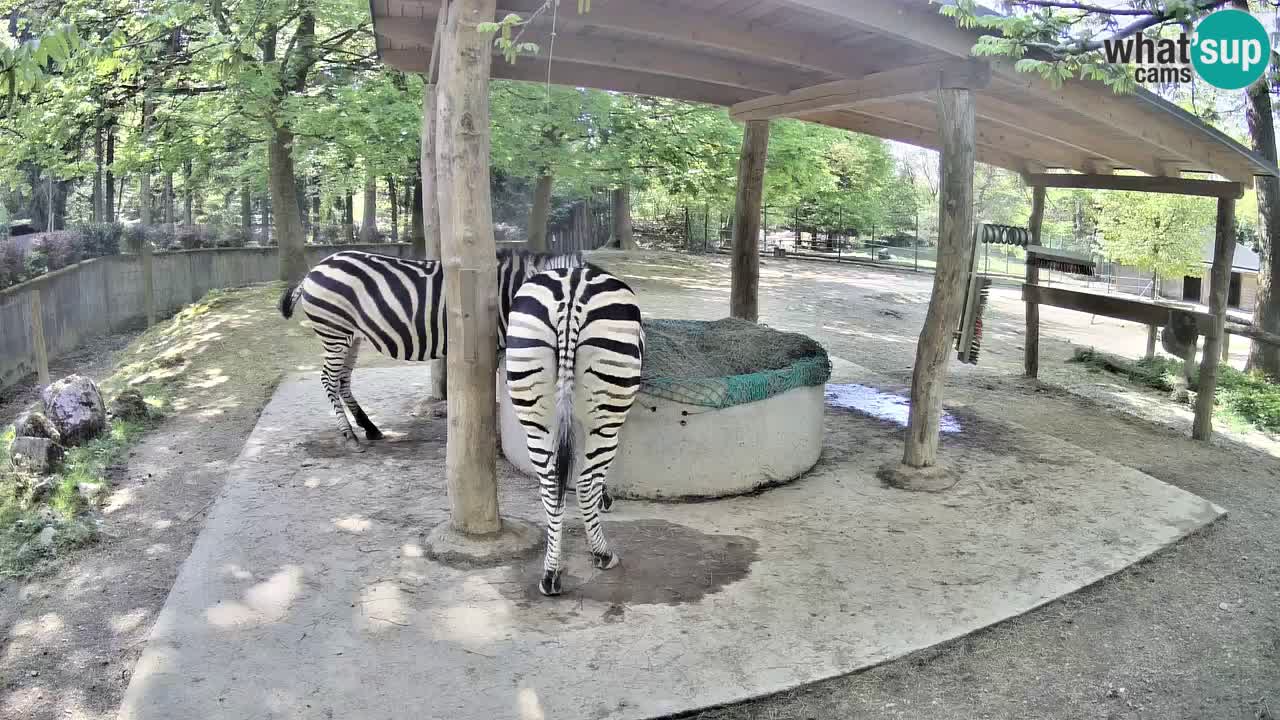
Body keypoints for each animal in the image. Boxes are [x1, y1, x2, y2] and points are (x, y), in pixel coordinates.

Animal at [278, 248, 586, 453]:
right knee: (329, 380)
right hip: (335, 331)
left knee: (343, 380)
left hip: (351, 337)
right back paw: (350, 436)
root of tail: (314, 271)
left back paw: (370, 428)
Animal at [504, 265, 645, 596]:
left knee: (550, 484)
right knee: (582, 483)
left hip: (535, 413)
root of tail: (570, 296)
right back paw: (603, 554)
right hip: (606, 417)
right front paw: (604, 499)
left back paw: (550, 574)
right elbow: (594, 476)